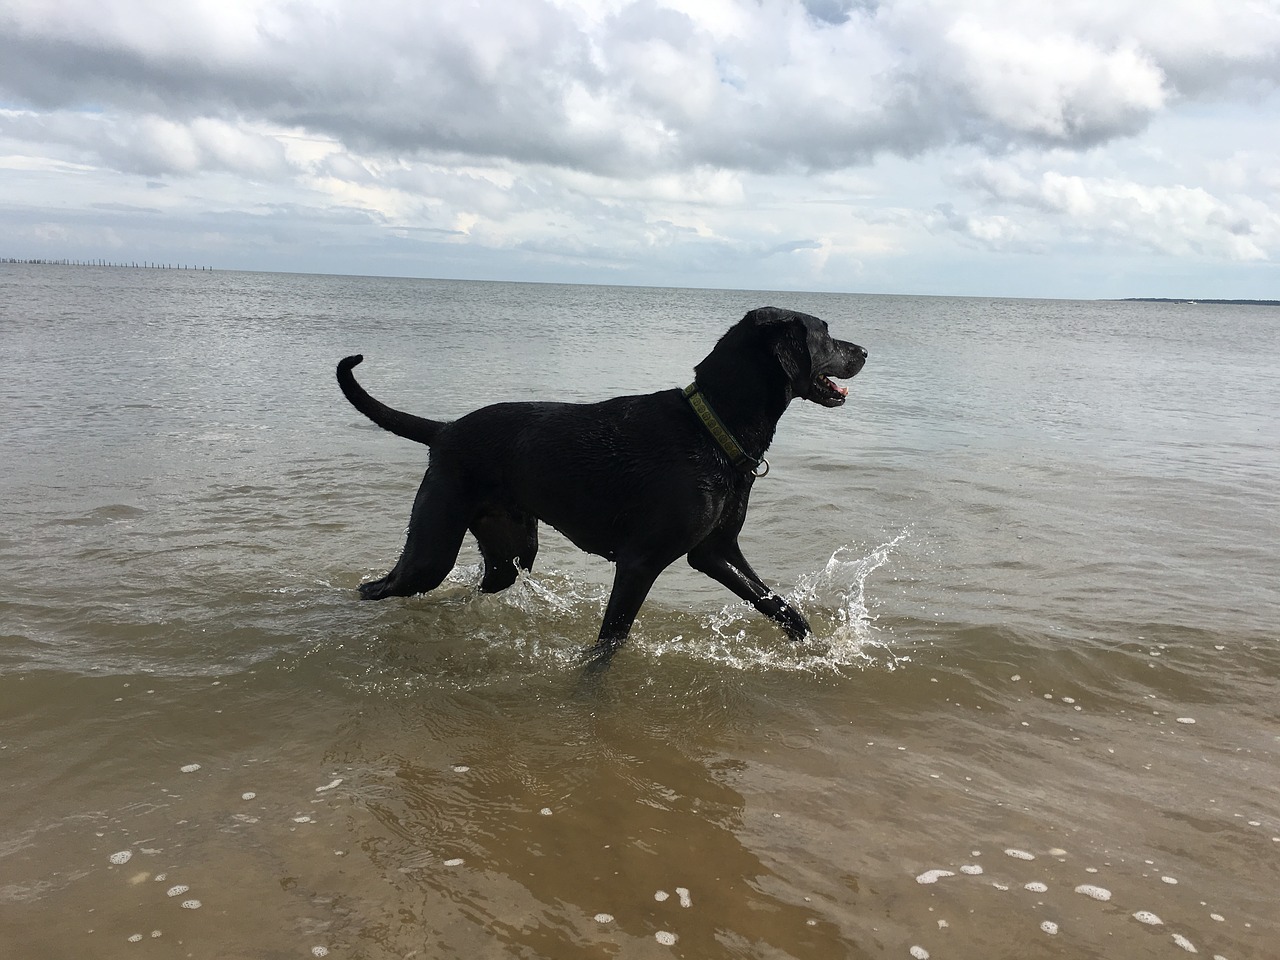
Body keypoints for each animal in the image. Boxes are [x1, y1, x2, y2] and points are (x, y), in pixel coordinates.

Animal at [335, 305, 865, 660]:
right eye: (825, 334)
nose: (862, 350)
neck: (712, 426)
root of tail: (444, 431)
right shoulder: (640, 562)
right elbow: (609, 643)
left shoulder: (715, 551)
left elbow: (782, 607)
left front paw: (817, 648)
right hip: (432, 548)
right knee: (377, 586)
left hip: (510, 549)